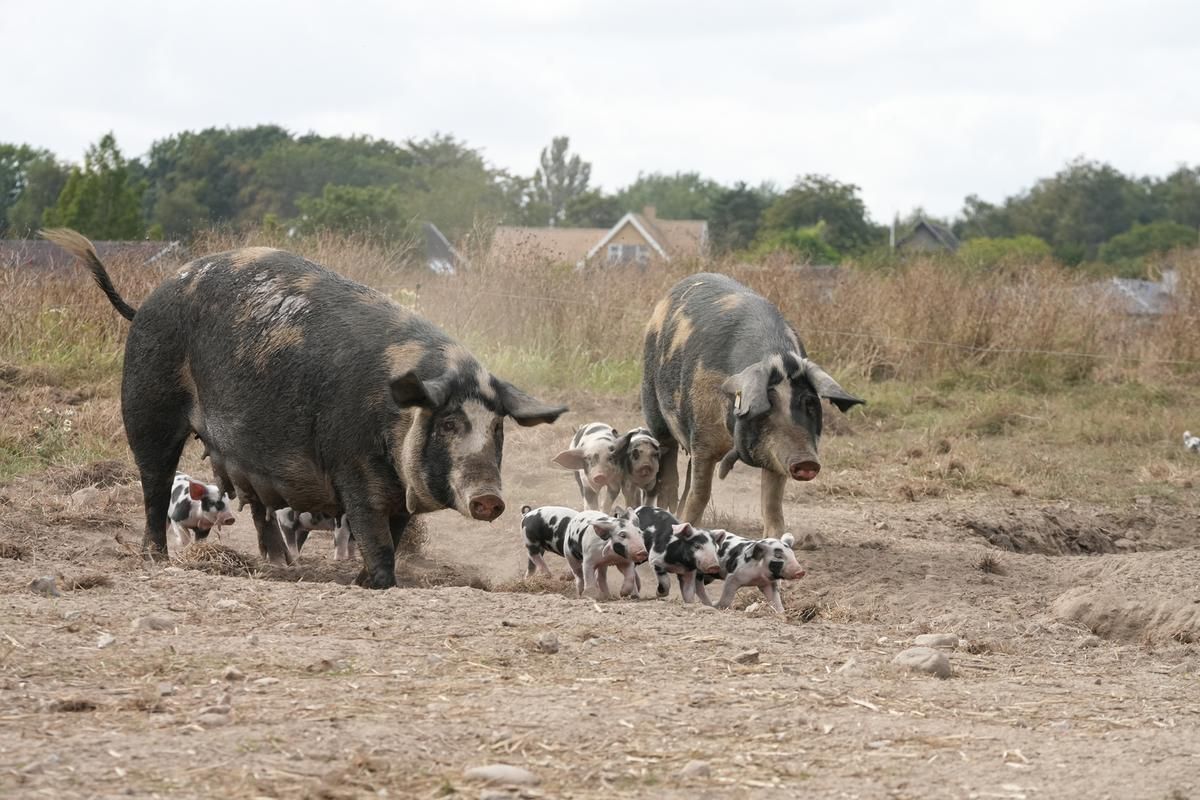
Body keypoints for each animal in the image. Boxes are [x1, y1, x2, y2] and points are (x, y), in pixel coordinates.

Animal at [46, 226, 566, 587]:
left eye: (497, 428)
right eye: (450, 422)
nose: (490, 499)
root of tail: (144, 303)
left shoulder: (398, 488)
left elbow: (393, 533)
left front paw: (361, 579)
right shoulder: (351, 464)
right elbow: (374, 533)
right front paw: (376, 583)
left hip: (241, 450)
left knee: (256, 505)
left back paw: (281, 564)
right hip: (147, 405)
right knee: (153, 485)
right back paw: (156, 557)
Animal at [643, 273, 868, 537]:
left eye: (810, 403)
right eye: (767, 406)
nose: (807, 462)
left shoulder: (776, 456)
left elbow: (772, 505)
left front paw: (775, 539)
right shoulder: (702, 441)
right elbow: (699, 496)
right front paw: (684, 524)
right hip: (652, 402)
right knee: (668, 459)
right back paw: (667, 506)